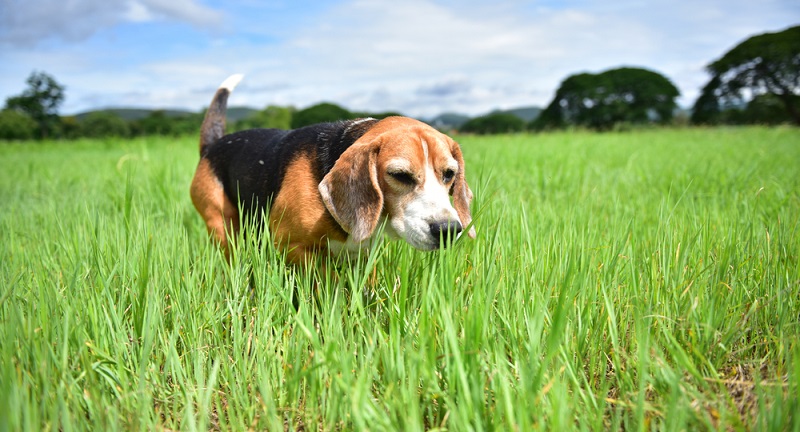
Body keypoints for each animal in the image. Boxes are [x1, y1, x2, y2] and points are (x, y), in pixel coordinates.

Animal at [190, 74, 472, 264]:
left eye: (449, 174)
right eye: (399, 175)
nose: (448, 230)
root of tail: (213, 145)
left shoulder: (362, 251)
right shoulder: (293, 246)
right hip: (221, 224)